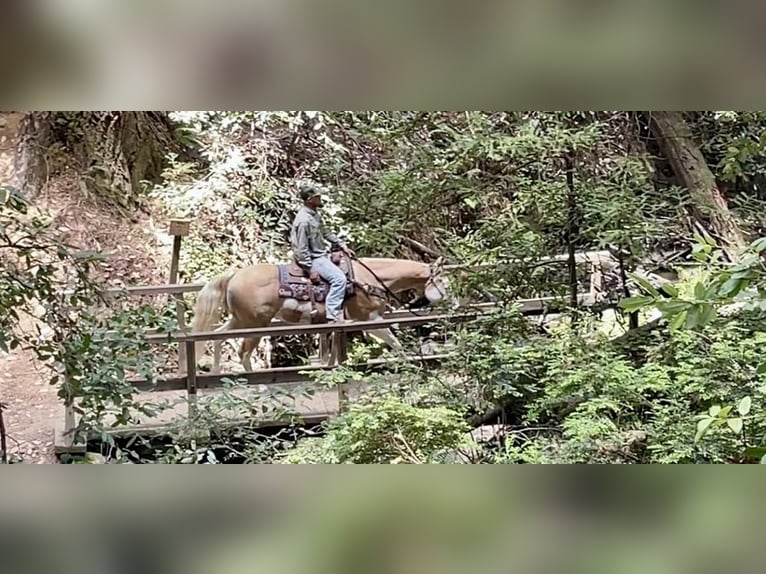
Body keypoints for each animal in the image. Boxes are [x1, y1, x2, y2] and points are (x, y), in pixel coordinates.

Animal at [192, 256, 452, 374]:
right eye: (444, 283)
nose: (454, 302)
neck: (367, 280)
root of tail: (234, 276)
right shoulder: (370, 320)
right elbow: (396, 343)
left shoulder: (339, 323)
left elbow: (333, 350)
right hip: (255, 324)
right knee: (243, 352)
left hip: (240, 320)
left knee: (217, 337)